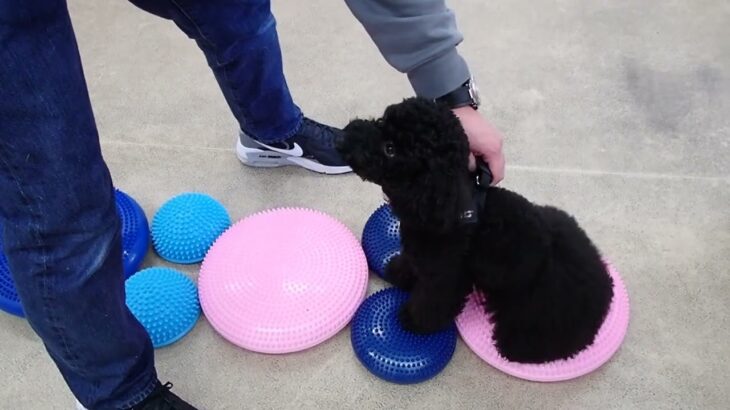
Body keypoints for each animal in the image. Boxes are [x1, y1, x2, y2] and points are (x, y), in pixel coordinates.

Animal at [338, 97, 612, 364]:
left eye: (390, 149)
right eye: (381, 121)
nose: (344, 136)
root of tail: (603, 283)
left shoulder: (444, 276)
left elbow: (431, 301)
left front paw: (414, 321)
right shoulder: (421, 253)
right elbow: (410, 263)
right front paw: (398, 271)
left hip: (536, 316)